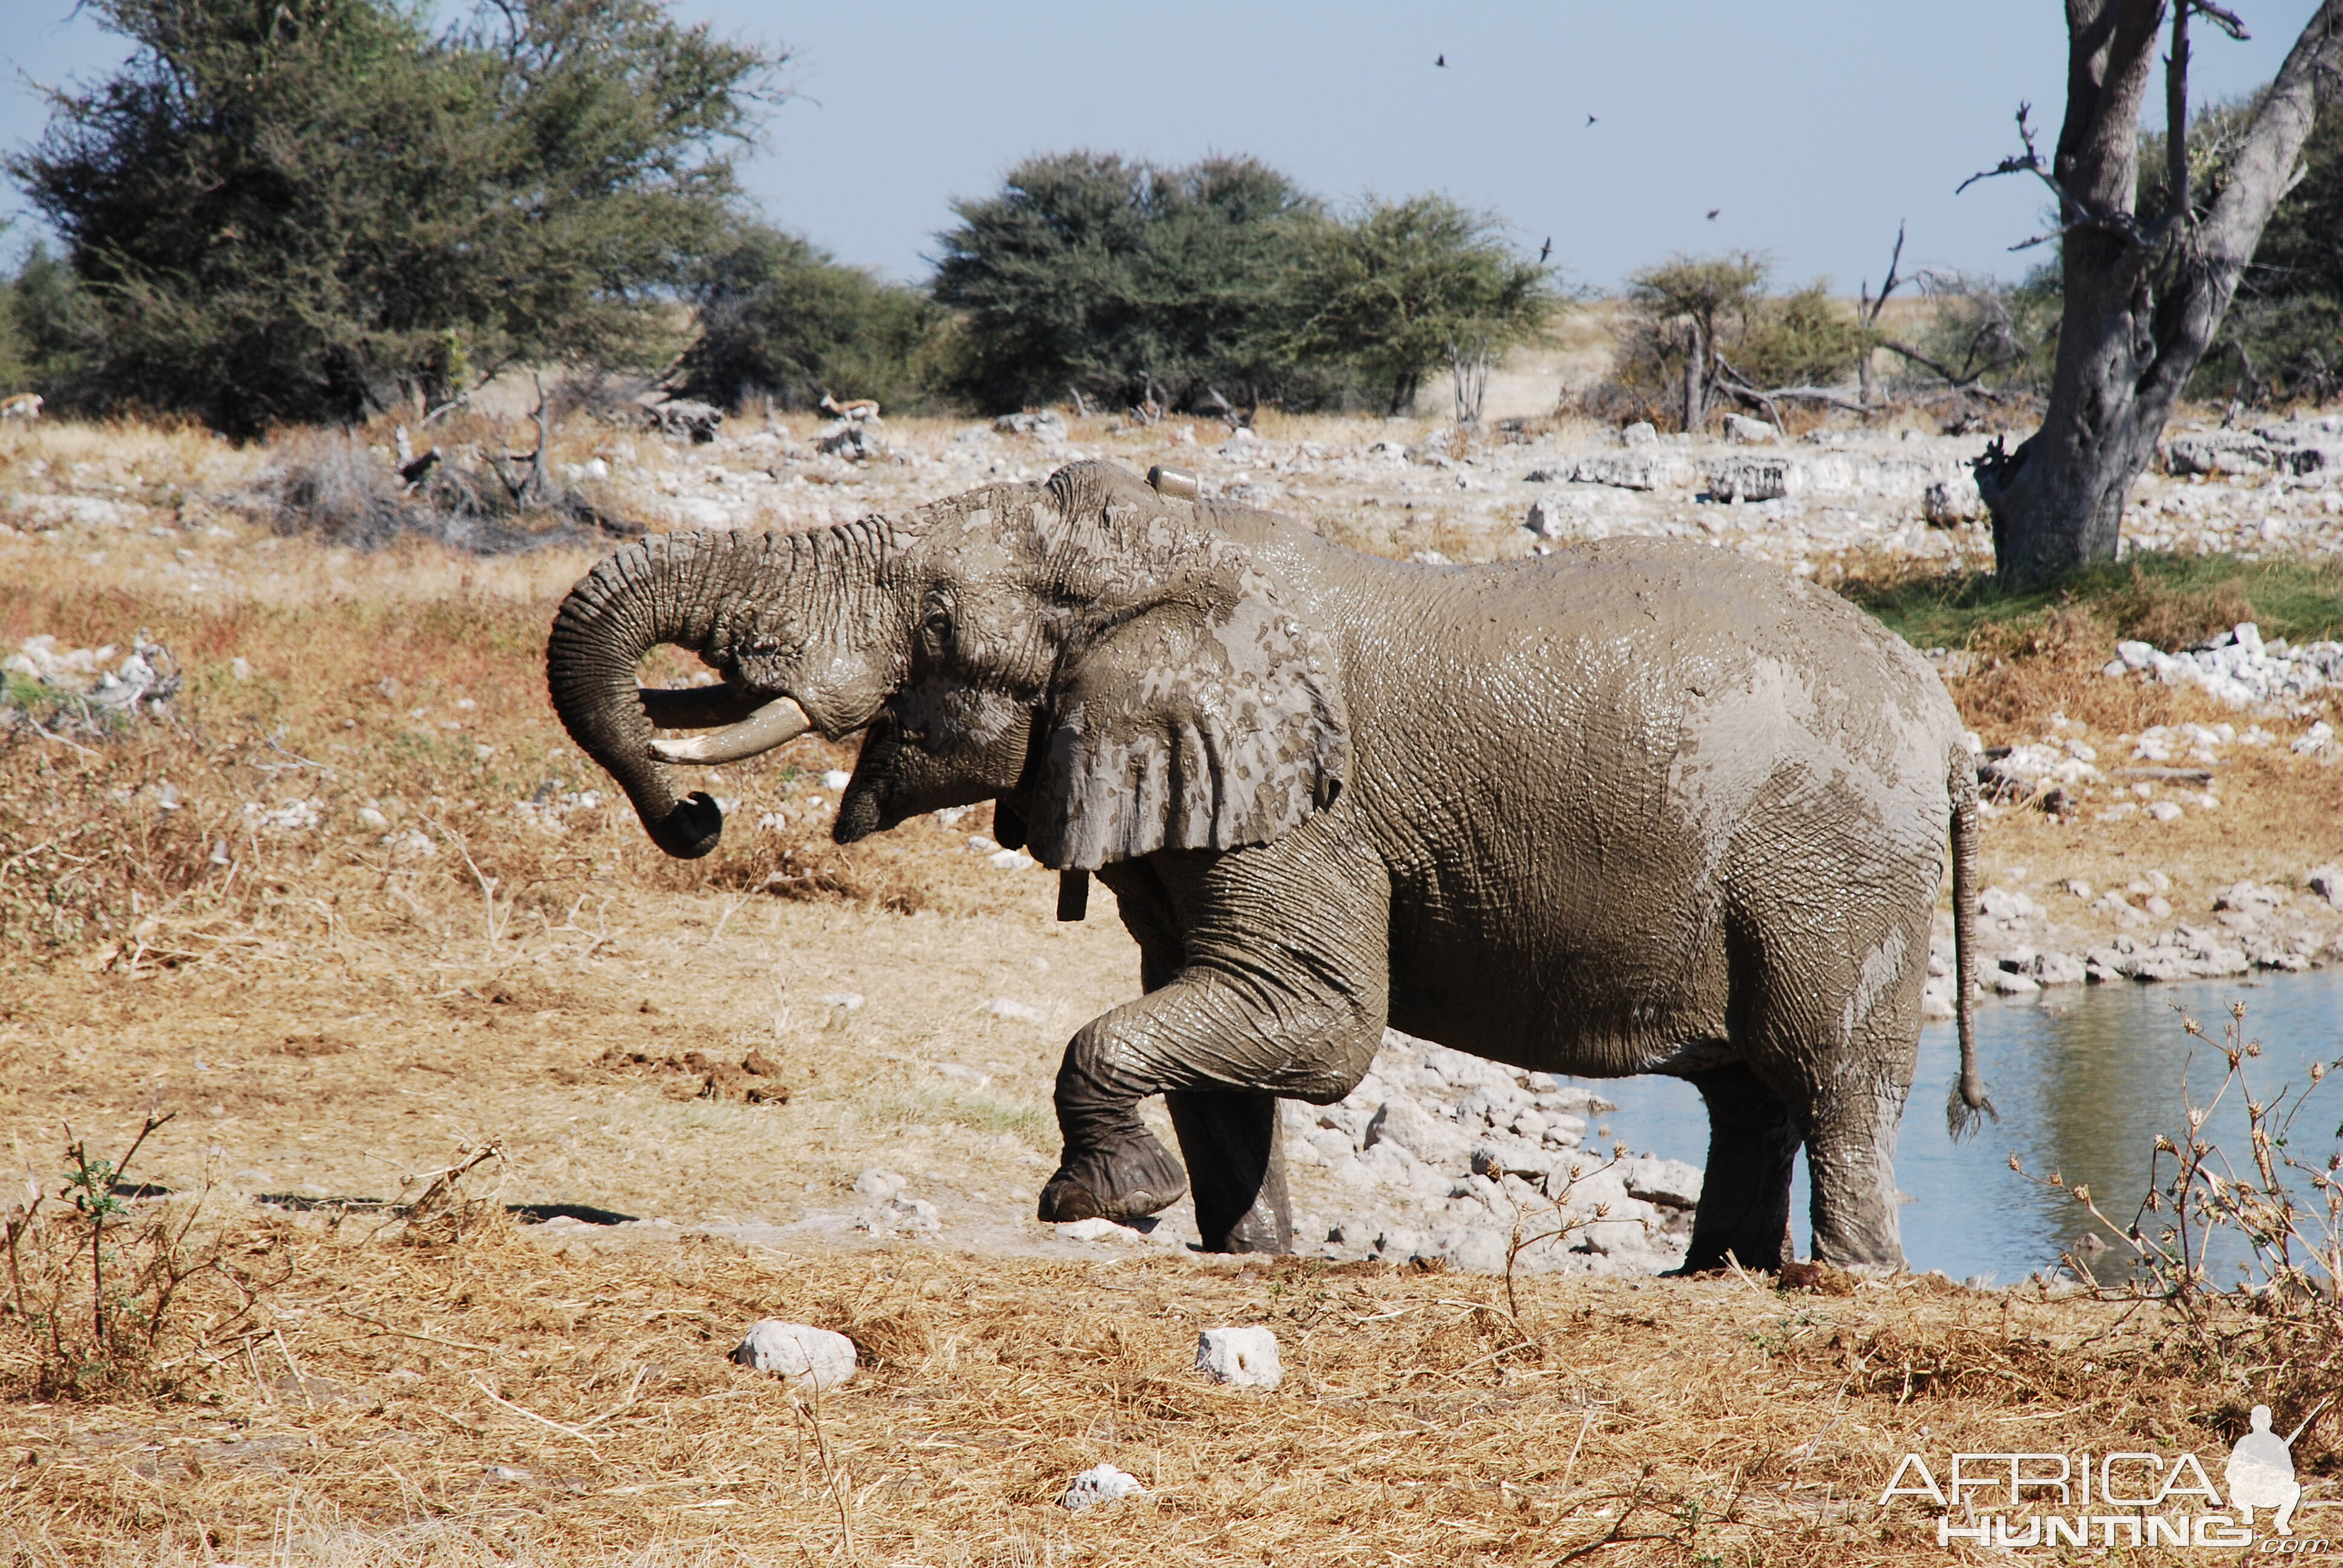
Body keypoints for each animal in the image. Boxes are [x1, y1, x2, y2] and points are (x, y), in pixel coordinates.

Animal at [543, 459, 1977, 1266]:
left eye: (937, 622)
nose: (692, 816)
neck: (1187, 549)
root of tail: (1945, 719)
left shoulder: (1310, 812)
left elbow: (1317, 1020)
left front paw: (1101, 1206)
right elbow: (1203, 1015)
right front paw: (1245, 1255)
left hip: (1833, 867)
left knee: (1829, 1078)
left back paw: (1838, 1281)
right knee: (1747, 1093)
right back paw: (1713, 1278)